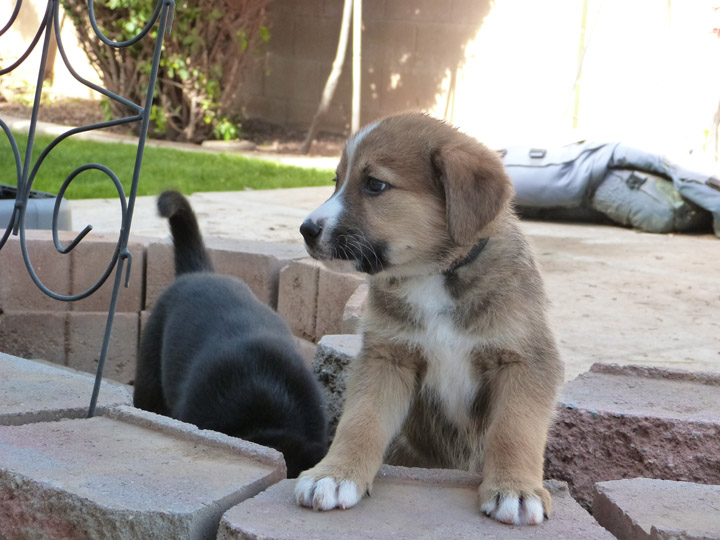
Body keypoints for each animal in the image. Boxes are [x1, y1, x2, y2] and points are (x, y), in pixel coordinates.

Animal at [294, 113, 564, 524]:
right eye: (336, 181)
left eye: (375, 184)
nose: (306, 231)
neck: (433, 276)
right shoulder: (387, 356)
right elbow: (360, 421)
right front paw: (335, 475)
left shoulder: (525, 359)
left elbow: (514, 429)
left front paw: (516, 489)